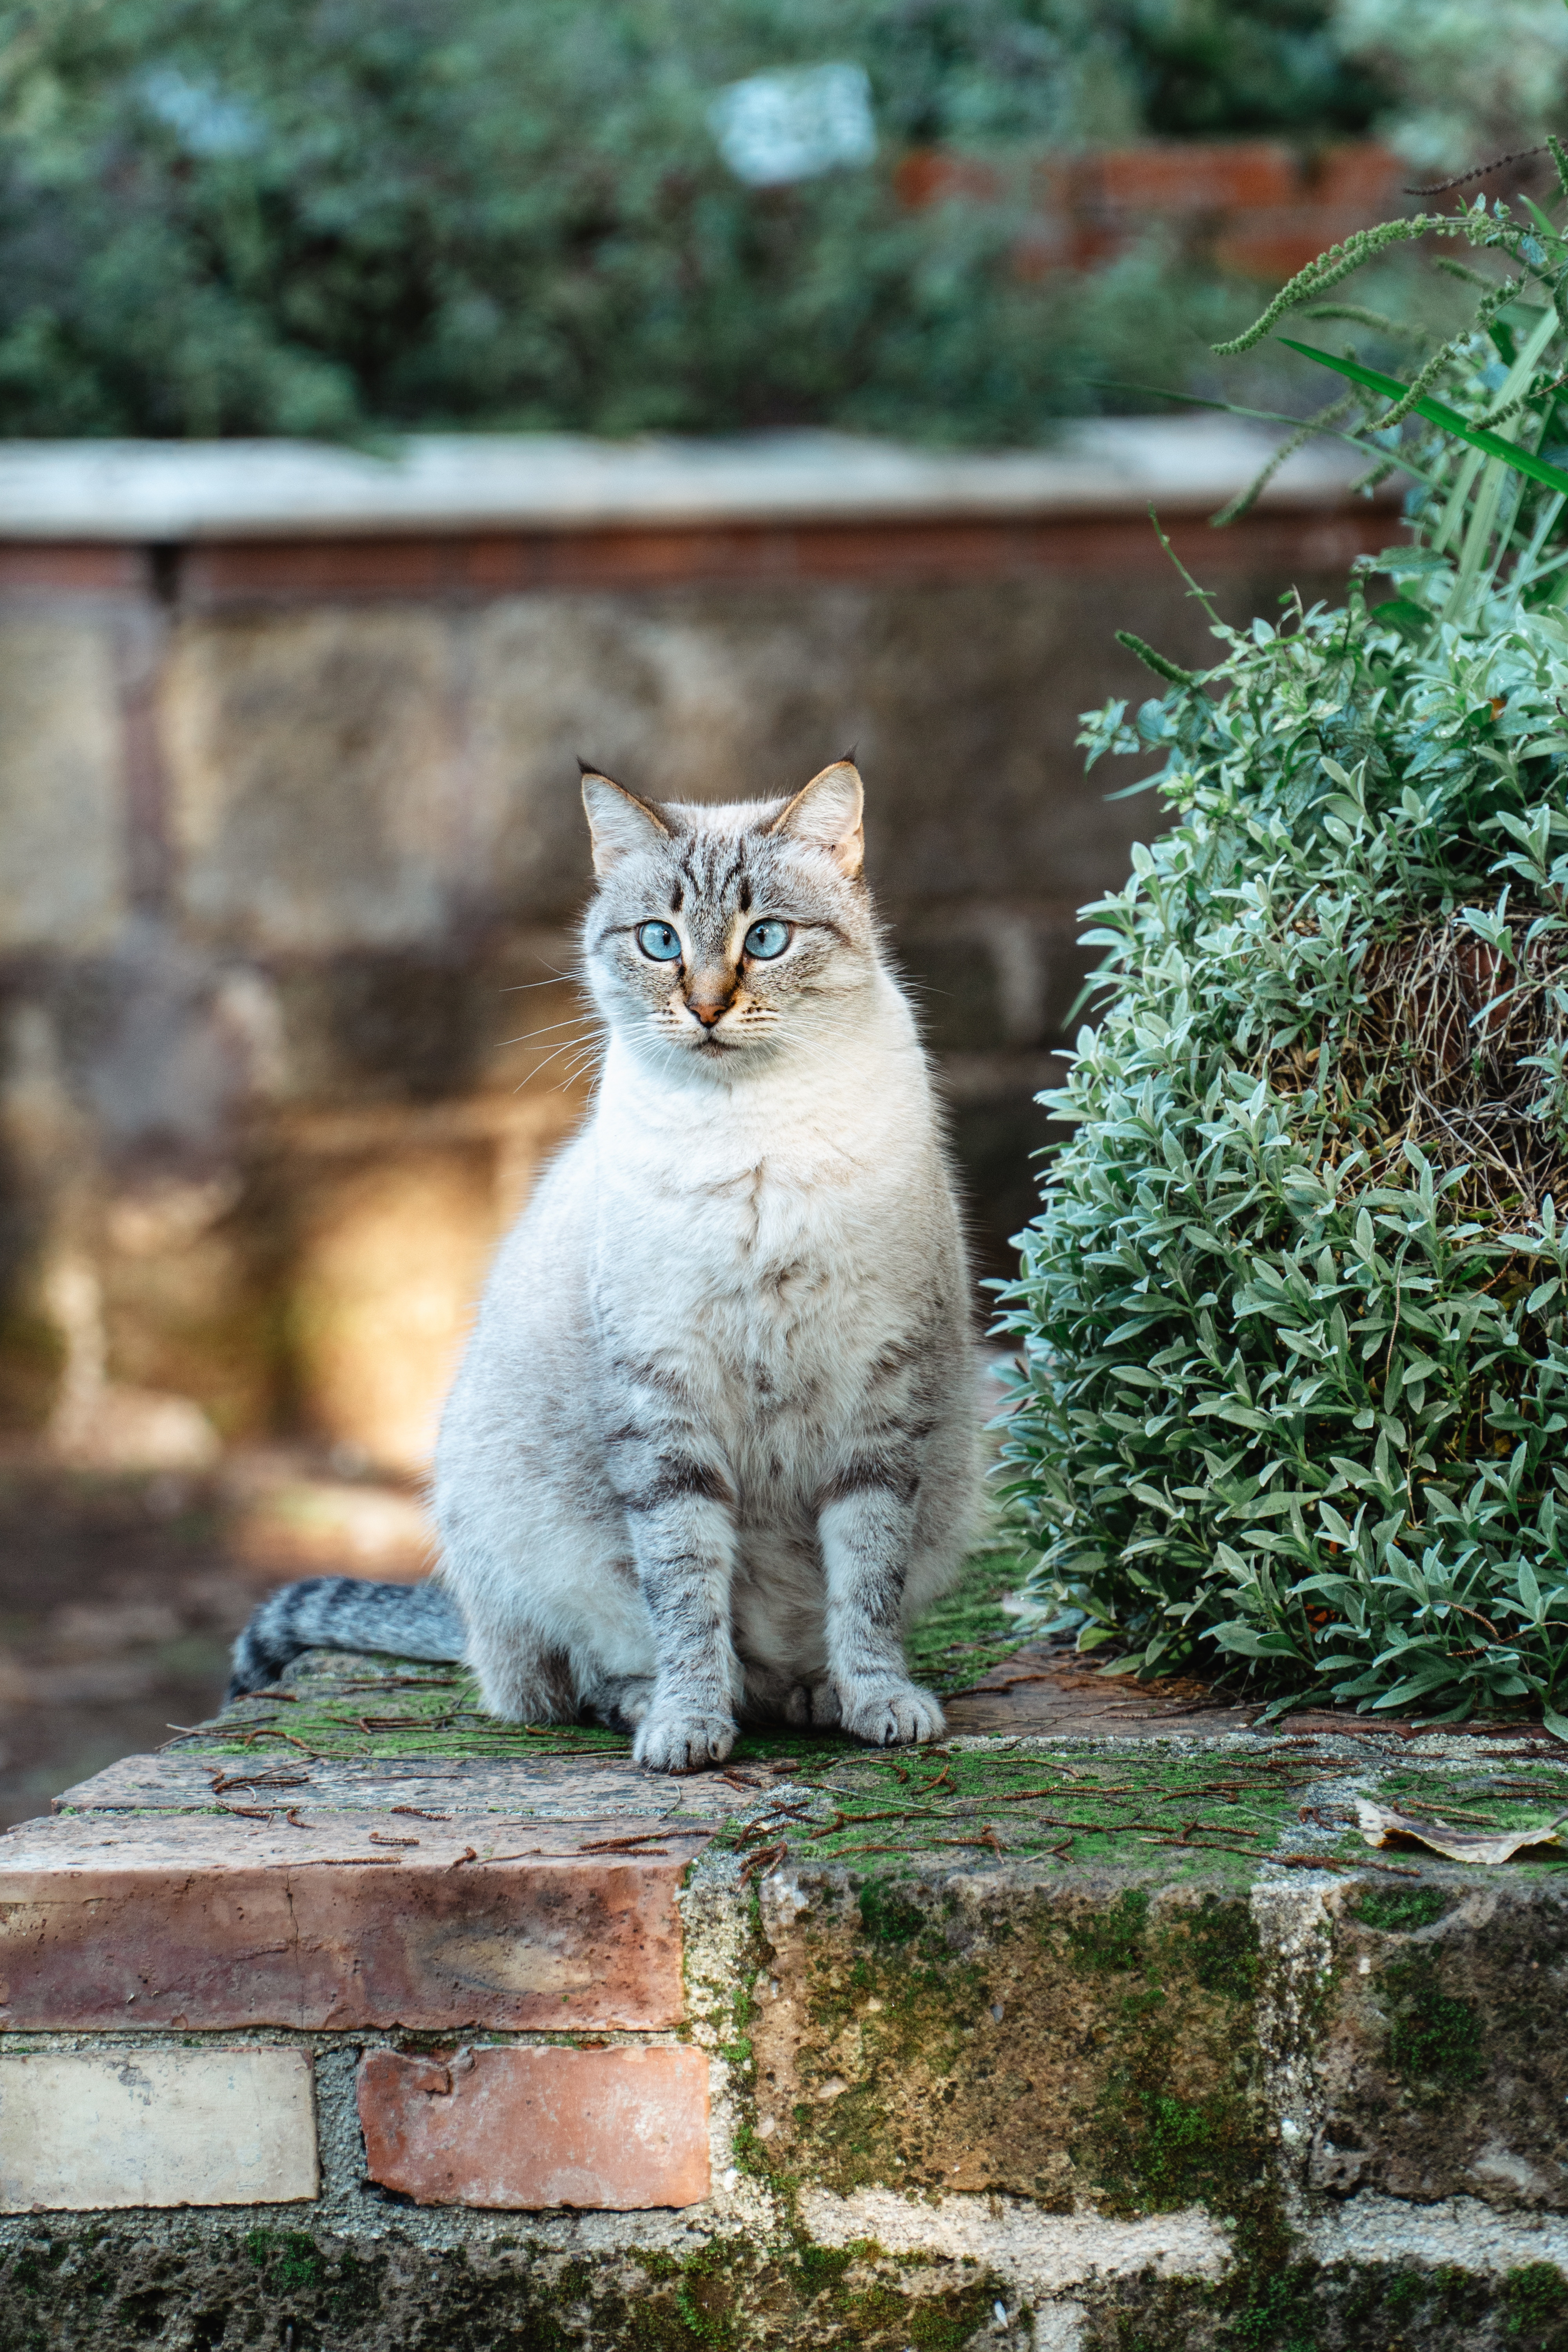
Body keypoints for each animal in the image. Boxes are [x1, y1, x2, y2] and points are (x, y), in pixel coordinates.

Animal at [230, 757, 982, 1769]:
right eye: (659, 942)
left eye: (767, 939)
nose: (705, 1007)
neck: (751, 1132)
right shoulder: (663, 1403)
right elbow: (686, 1594)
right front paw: (690, 1730)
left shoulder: (878, 1391)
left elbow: (865, 1586)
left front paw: (880, 1705)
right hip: (531, 1554)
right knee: (573, 1677)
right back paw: (666, 1704)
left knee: (793, 1655)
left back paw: (814, 1694)